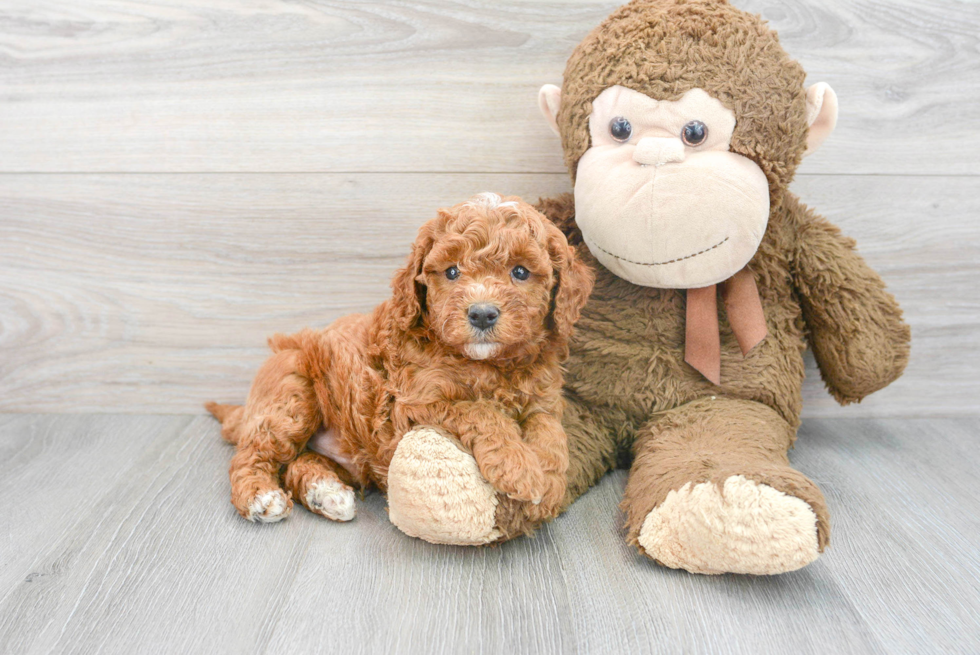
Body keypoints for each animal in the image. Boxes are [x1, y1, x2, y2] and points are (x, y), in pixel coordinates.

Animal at [206, 195, 588, 528]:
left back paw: (326, 493)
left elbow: (550, 431)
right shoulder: (416, 402)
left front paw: (550, 483)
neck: (490, 365)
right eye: (451, 272)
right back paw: (260, 496)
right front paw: (519, 469)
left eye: (520, 272)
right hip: (292, 393)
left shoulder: (544, 398)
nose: (481, 314)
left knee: (299, 462)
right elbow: (481, 412)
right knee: (253, 452)